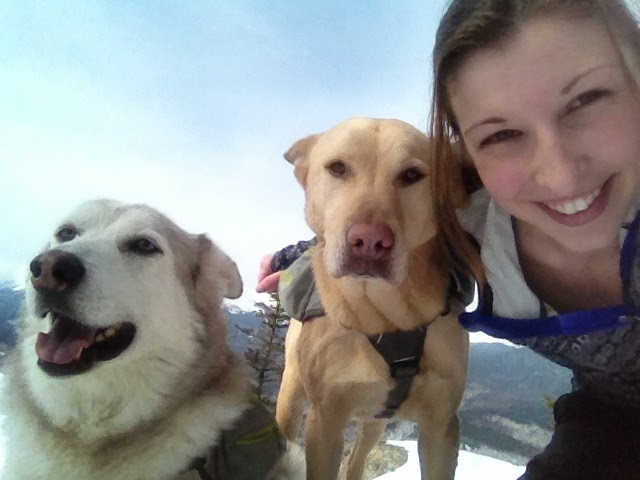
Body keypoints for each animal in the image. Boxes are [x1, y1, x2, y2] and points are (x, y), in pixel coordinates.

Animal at [275, 118, 470, 479]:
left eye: (411, 175)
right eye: (338, 168)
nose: (368, 241)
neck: (384, 316)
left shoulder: (441, 427)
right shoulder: (325, 423)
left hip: (375, 423)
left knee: (356, 461)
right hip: (291, 394)